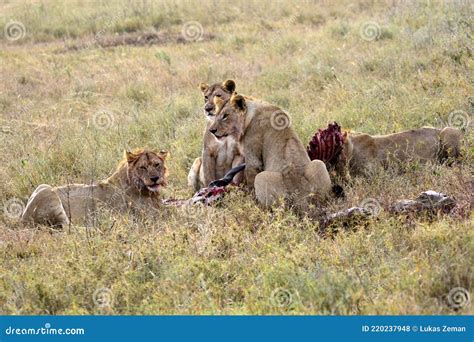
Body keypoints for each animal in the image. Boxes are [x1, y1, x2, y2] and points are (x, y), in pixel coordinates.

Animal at [20, 149, 168, 227]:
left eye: (157, 164)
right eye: (142, 167)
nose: (155, 178)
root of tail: (23, 220)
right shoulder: (147, 216)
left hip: (42, 186)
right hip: (50, 195)